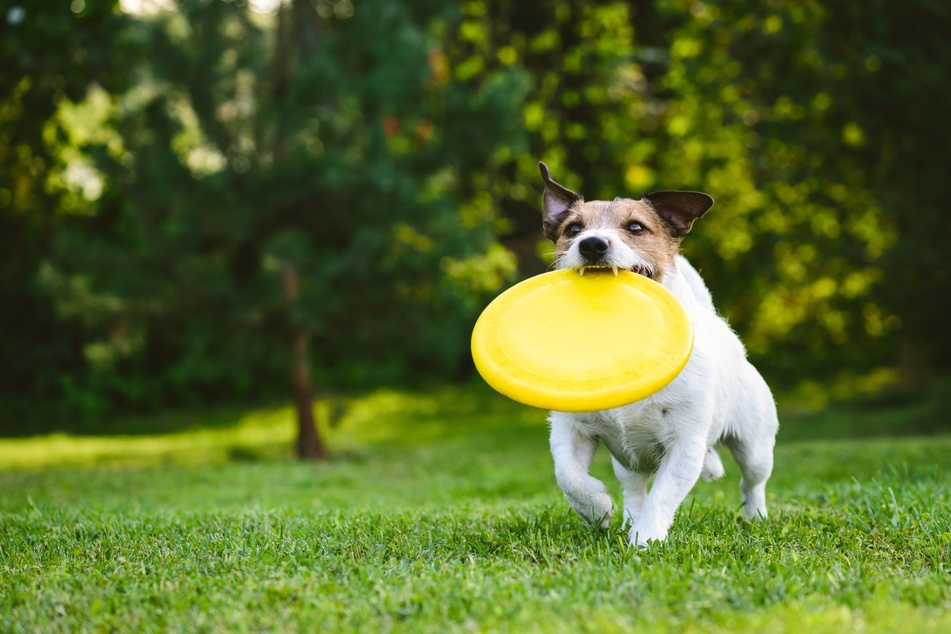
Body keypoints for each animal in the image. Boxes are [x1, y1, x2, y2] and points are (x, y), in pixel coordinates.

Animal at [540, 160, 776, 544]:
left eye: (636, 227)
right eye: (573, 228)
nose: (591, 244)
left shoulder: (685, 445)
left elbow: (664, 495)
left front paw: (645, 540)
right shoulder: (569, 429)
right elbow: (568, 475)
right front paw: (597, 509)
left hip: (755, 445)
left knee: (752, 483)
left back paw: (756, 518)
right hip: (626, 460)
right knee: (634, 488)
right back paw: (626, 518)